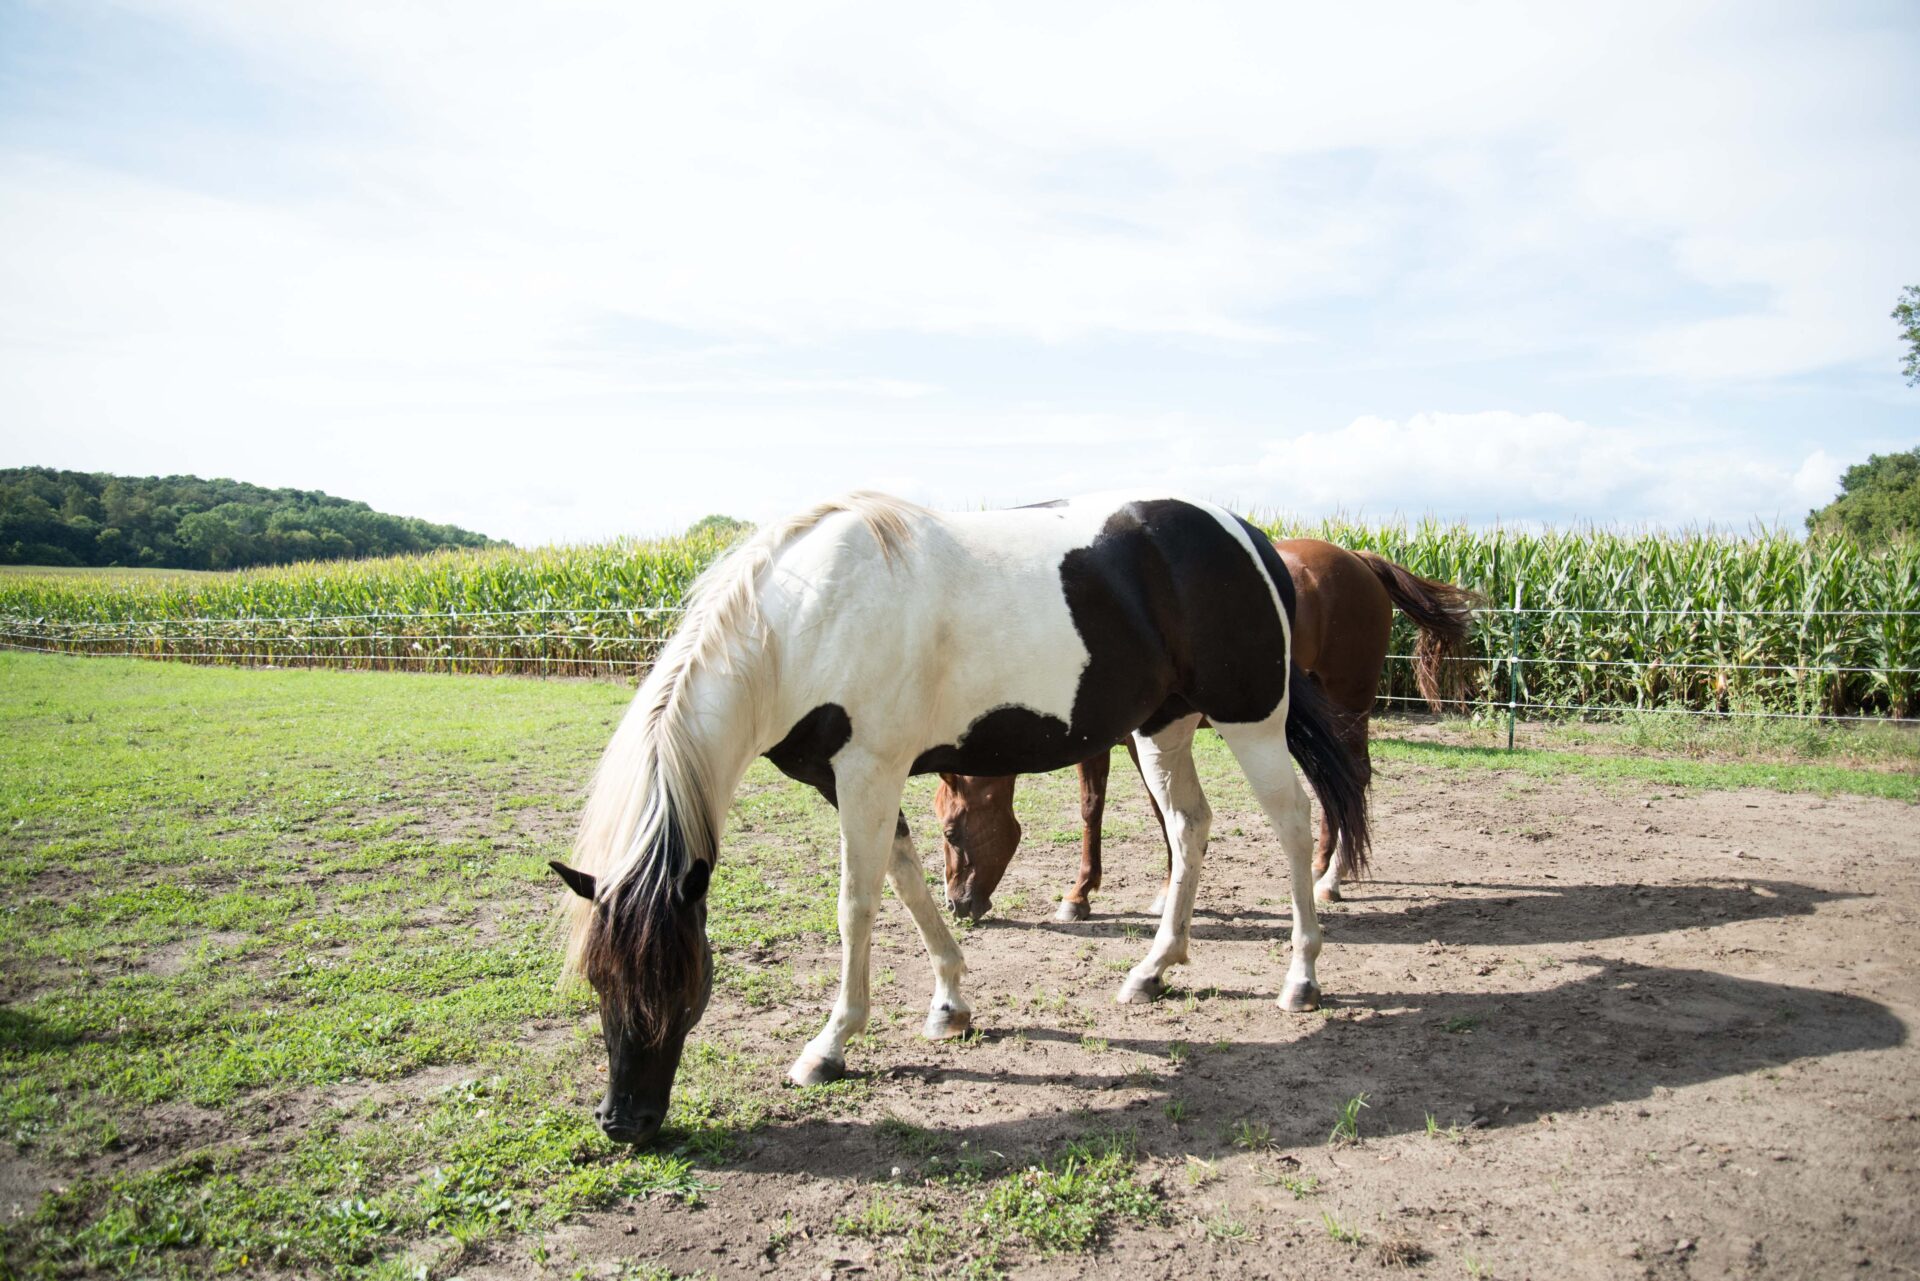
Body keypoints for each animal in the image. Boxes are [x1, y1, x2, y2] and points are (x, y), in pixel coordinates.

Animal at [549, 495, 1374, 1144]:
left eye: (681, 978)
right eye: (597, 976)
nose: (624, 1122)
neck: (802, 617)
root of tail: (1246, 532)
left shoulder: (868, 770)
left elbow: (857, 905)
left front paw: (830, 1045)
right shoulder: (849, 780)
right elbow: (908, 883)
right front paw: (949, 1002)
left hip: (1252, 720)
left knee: (1292, 821)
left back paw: (1301, 976)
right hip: (1162, 727)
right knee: (1190, 825)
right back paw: (1153, 968)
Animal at [936, 537, 1474, 921]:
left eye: (949, 830)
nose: (957, 905)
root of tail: (1358, 559)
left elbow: (1140, 808)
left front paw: (1134, 891)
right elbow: (1114, 808)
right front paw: (1095, 892)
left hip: (1349, 703)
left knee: (1354, 780)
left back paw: (1332, 879)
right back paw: (1321, 866)